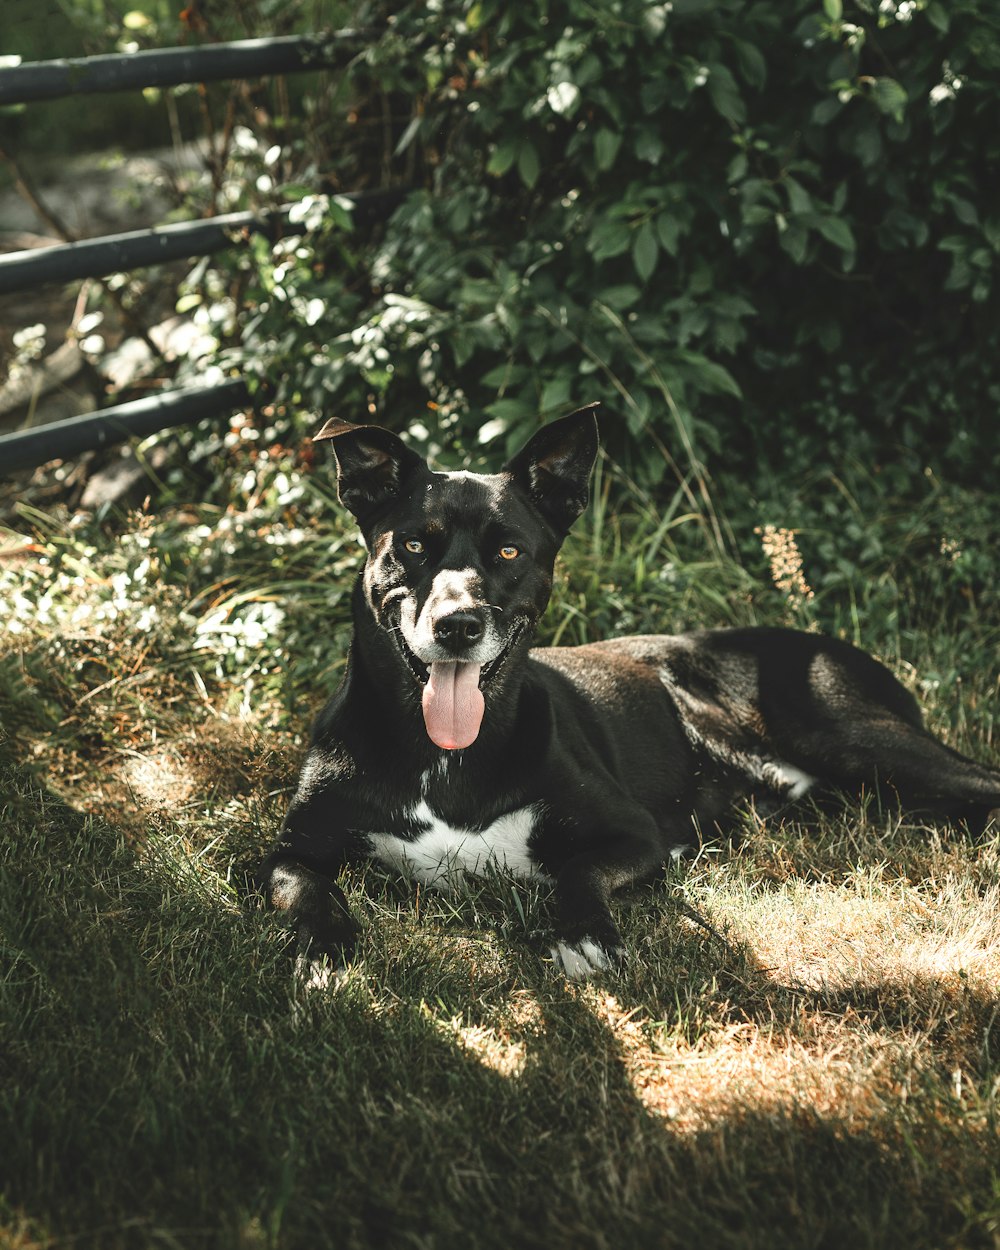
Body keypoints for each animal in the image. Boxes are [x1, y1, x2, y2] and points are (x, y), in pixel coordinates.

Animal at [257, 405, 1000, 980]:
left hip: (848, 734)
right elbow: (300, 888)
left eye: (508, 552)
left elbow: (576, 871)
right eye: (412, 545)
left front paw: (586, 934)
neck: (442, 758)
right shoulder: (294, 847)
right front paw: (323, 949)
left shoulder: (633, 833)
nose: (458, 625)